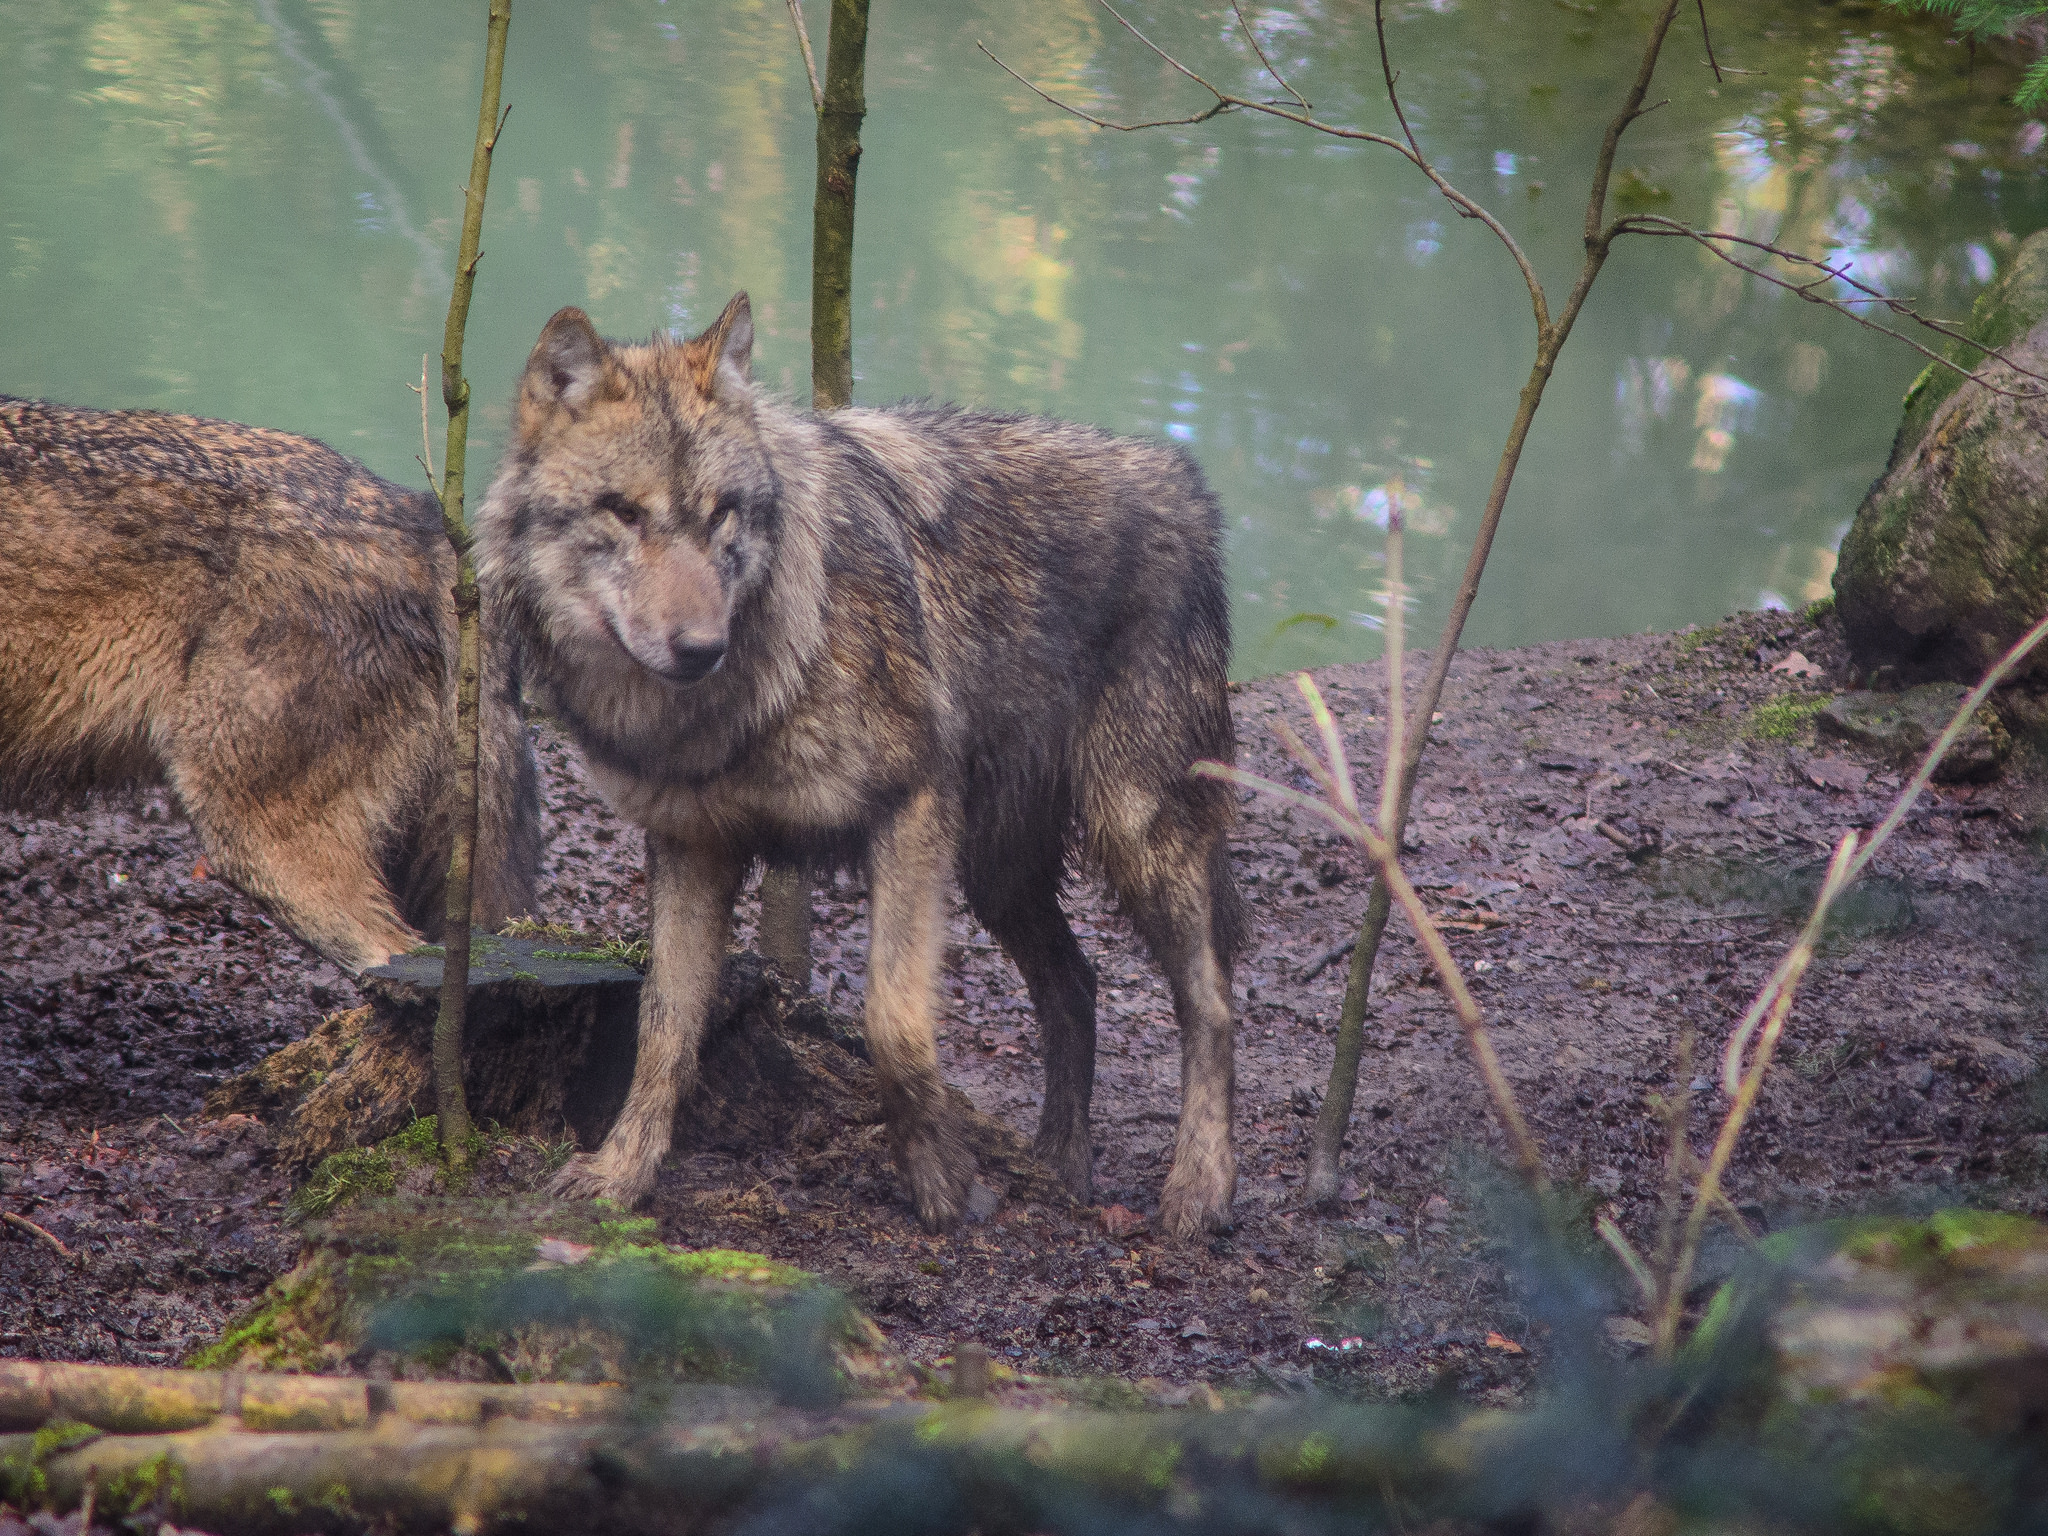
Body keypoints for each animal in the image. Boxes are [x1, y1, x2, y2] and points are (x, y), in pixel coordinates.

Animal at [479, 296, 1245, 1236]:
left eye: (722, 514)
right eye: (622, 512)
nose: (700, 648)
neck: (733, 701)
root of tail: (1180, 477)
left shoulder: (911, 811)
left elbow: (895, 1026)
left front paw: (944, 1188)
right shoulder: (693, 846)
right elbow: (663, 1027)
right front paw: (622, 1173)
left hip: (1135, 833)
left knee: (1210, 1000)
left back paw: (1200, 1187)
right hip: (999, 873)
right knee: (1075, 984)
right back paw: (1060, 1166)